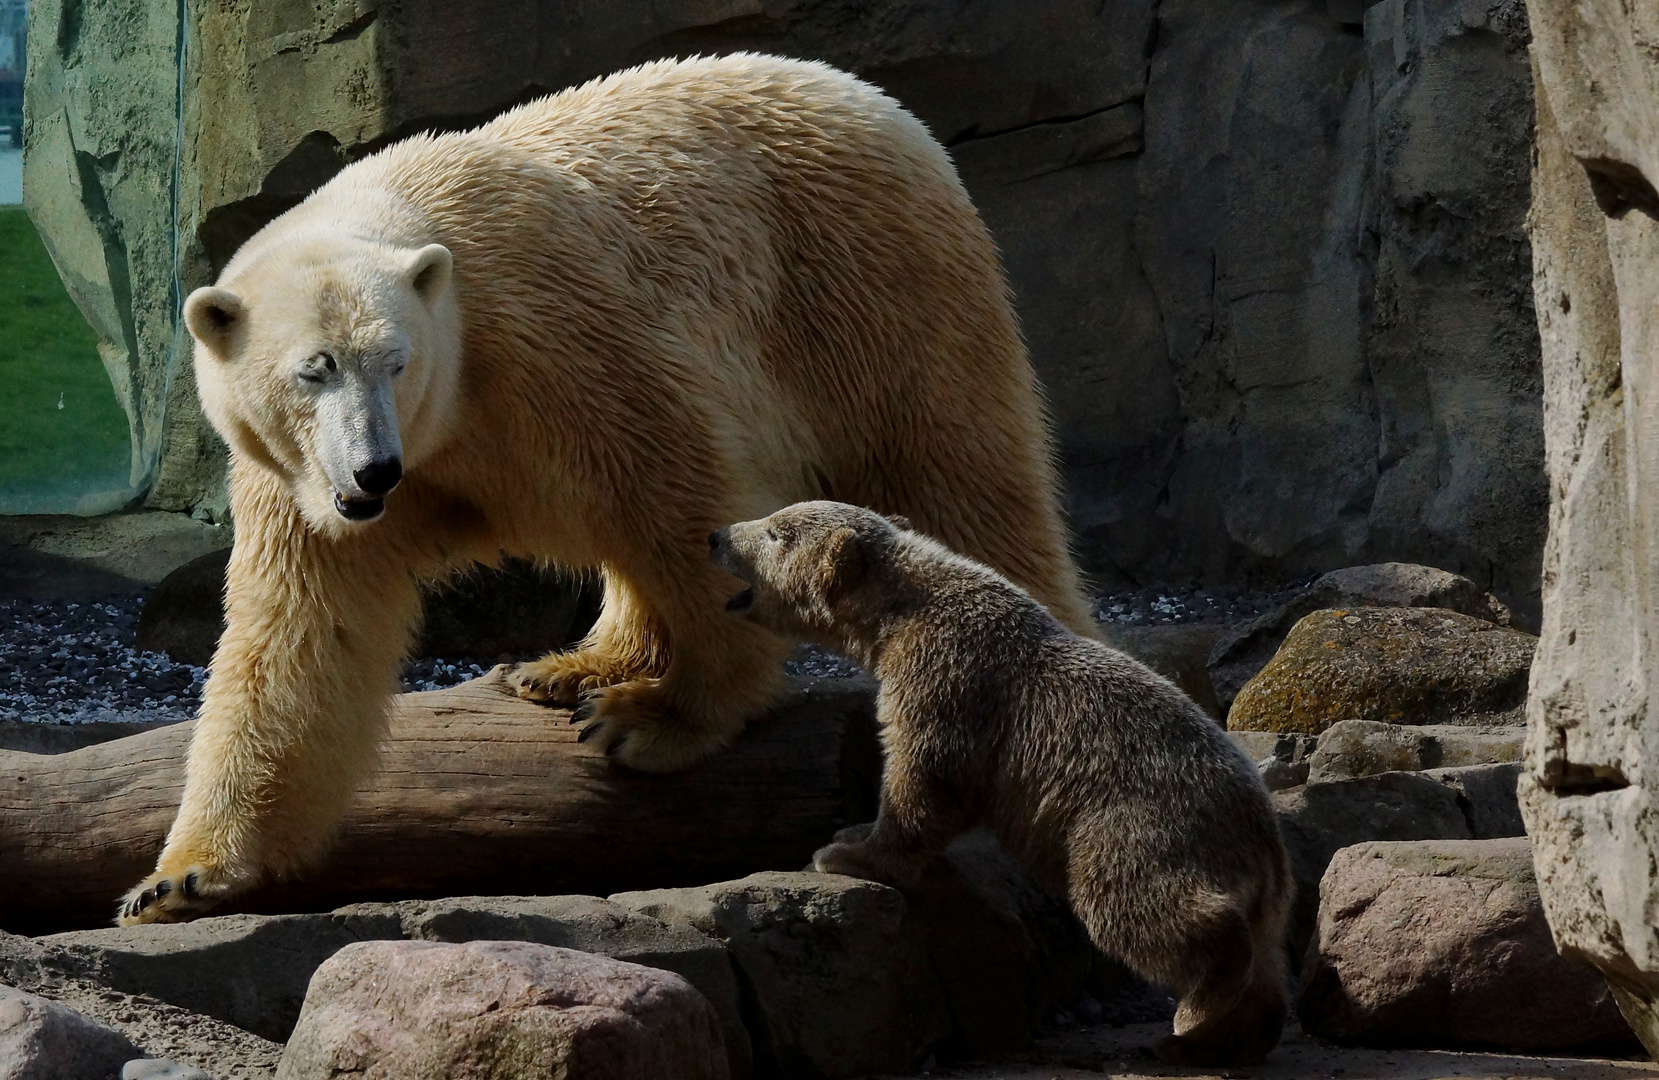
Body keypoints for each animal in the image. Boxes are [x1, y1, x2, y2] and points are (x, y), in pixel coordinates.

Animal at [120, 54, 1101, 922]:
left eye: (394, 362)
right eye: (311, 371)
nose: (374, 471)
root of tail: (875, 102)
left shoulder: (552, 336)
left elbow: (674, 486)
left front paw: (659, 720)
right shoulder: (302, 484)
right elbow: (301, 632)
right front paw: (182, 879)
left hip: (870, 290)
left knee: (956, 474)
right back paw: (568, 665)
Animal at [706, 504, 1287, 1068]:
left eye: (776, 530)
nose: (716, 536)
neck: (905, 608)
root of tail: (1262, 837)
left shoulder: (947, 672)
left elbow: (927, 773)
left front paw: (845, 853)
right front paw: (851, 831)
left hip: (1140, 821)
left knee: (1131, 900)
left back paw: (1196, 1009)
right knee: (1262, 961)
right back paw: (1219, 1040)